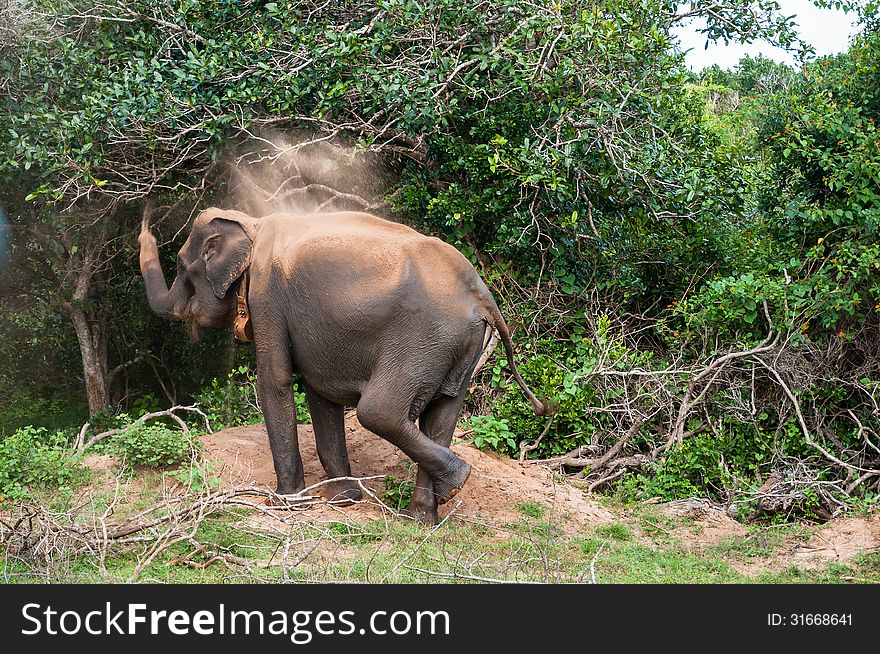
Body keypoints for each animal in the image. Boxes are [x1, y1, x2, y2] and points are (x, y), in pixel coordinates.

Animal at [138, 208, 552, 524]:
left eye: (181, 267)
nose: (144, 223)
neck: (252, 224)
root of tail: (482, 294)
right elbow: (320, 391)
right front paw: (344, 499)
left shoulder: (267, 296)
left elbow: (275, 379)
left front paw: (285, 503)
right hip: (458, 349)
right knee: (441, 416)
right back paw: (423, 517)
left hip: (423, 341)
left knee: (379, 411)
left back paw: (455, 482)